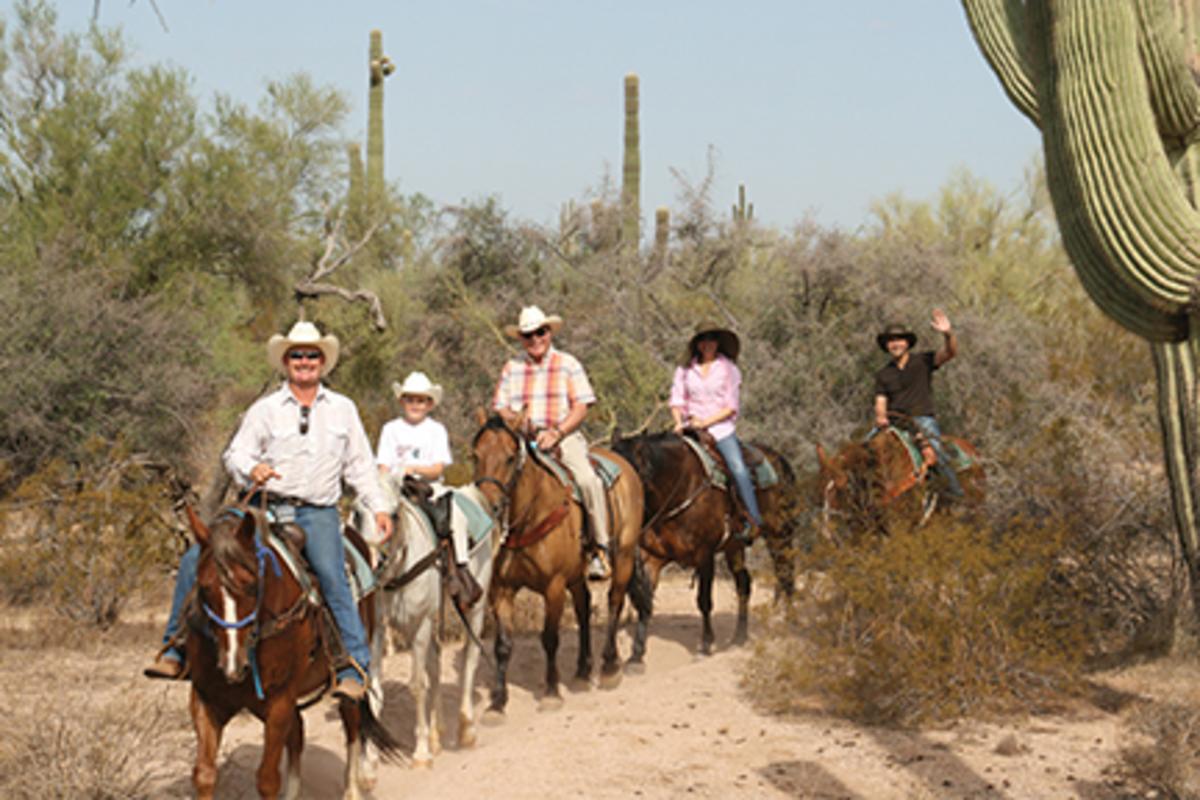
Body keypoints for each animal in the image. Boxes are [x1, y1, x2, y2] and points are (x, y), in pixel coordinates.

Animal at [180, 506, 400, 800]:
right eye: (204, 587)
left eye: (252, 585)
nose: (232, 666)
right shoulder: (206, 699)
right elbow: (204, 775)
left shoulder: (279, 701)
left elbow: (267, 780)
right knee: (298, 733)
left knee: (351, 726)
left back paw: (352, 788)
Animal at [352, 479, 494, 772]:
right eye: (357, 514)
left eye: (394, 515)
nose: (374, 564)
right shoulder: (379, 630)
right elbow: (375, 688)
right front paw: (370, 761)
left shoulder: (419, 625)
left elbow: (417, 685)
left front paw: (420, 753)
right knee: (436, 662)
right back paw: (437, 734)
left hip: (473, 608)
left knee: (470, 659)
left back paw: (466, 730)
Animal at [468, 410, 648, 714]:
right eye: (475, 455)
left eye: (509, 457)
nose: (489, 506)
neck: (529, 518)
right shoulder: (501, 589)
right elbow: (503, 645)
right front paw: (497, 703)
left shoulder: (553, 587)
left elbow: (550, 638)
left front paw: (552, 692)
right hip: (576, 576)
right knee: (584, 608)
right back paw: (582, 672)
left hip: (623, 557)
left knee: (614, 602)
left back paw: (609, 667)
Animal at [614, 434, 801, 662]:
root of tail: (779, 459)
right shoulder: (651, 557)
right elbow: (644, 601)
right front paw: (636, 654)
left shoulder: (705, 555)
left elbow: (704, 601)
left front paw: (705, 646)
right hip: (734, 547)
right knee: (744, 584)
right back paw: (739, 637)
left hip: (779, 536)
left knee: (786, 575)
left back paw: (790, 625)